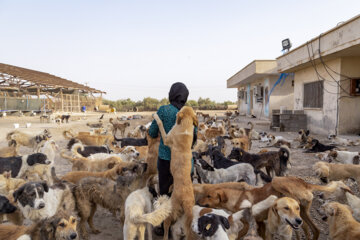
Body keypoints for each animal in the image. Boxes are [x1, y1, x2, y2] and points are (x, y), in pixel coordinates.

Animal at [153, 106, 198, 240]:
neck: (186, 125)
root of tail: (186, 200)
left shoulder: (166, 139)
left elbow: (160, 124)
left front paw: (156, 116)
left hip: (171, 210)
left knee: (166, 226)